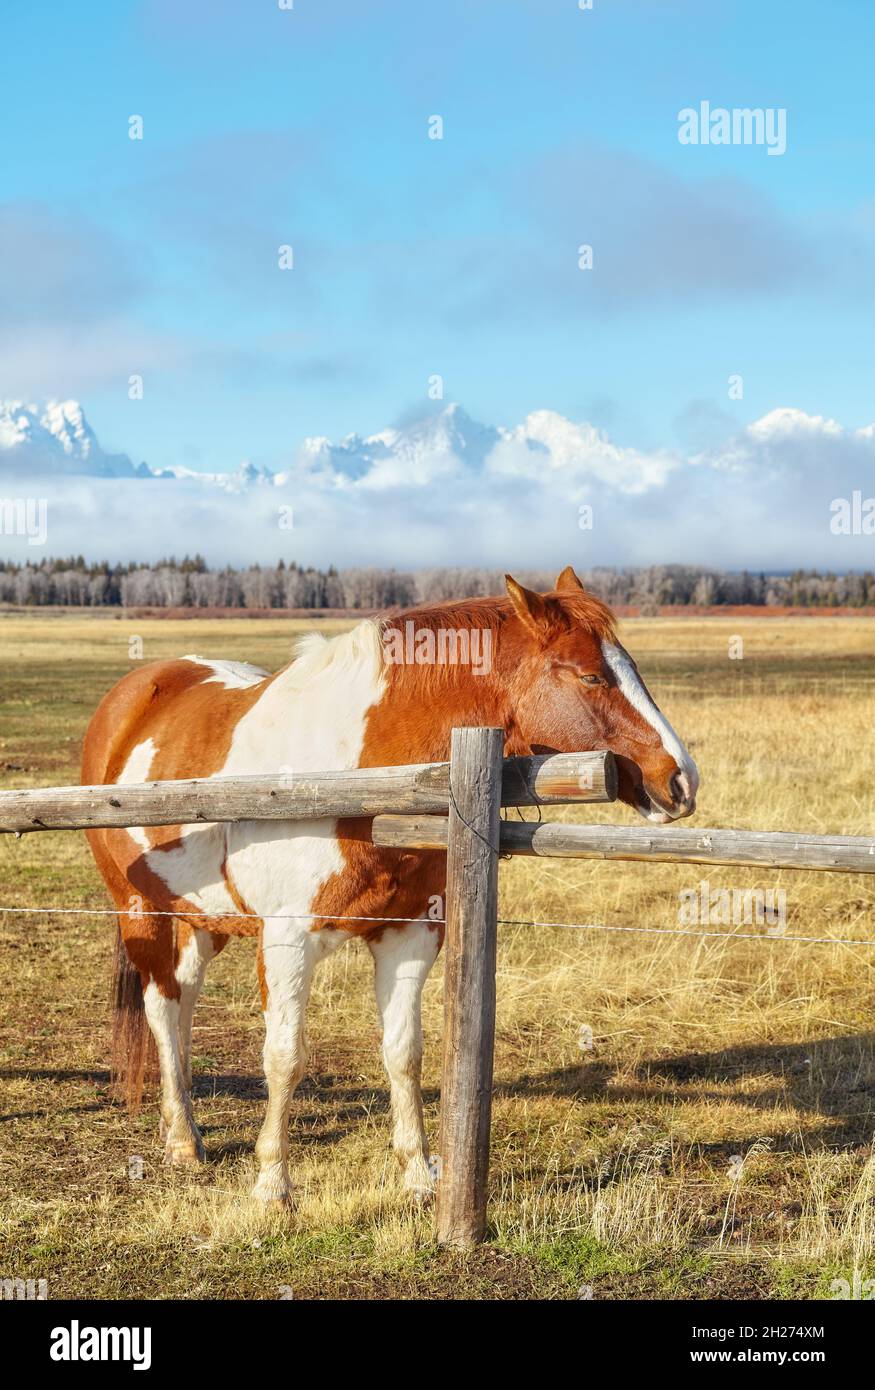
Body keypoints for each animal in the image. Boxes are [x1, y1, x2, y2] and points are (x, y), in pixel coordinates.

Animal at [82, 564, 695, 1206]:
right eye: (590, 674)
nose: (680, 779)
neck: (354, 778)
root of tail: (136, 693)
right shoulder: (287, 941)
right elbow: (284, 1056)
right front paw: (273, 1182)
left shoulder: (409, 935)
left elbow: (404, 1053)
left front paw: (419, 1174)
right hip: (142, 912)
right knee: (162, 1008)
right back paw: (181, 1138)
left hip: (204, 918)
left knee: (184, 1003)